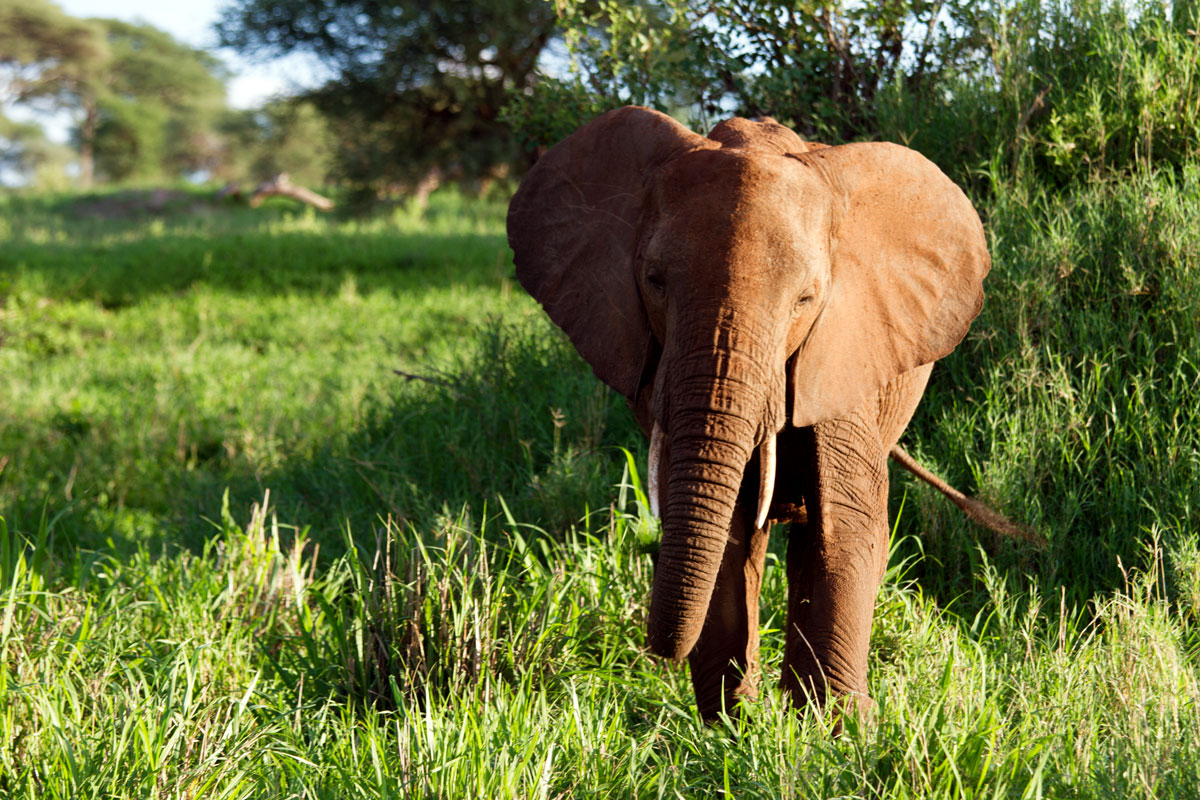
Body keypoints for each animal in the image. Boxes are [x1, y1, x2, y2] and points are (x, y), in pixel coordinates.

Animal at [506, 106, 1012, 724]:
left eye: (806, 300)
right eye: (654, 281)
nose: (652, 651)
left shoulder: (845, 349)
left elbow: (845, 522)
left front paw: (841, 729)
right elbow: (726, 529)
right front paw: (731, 727)